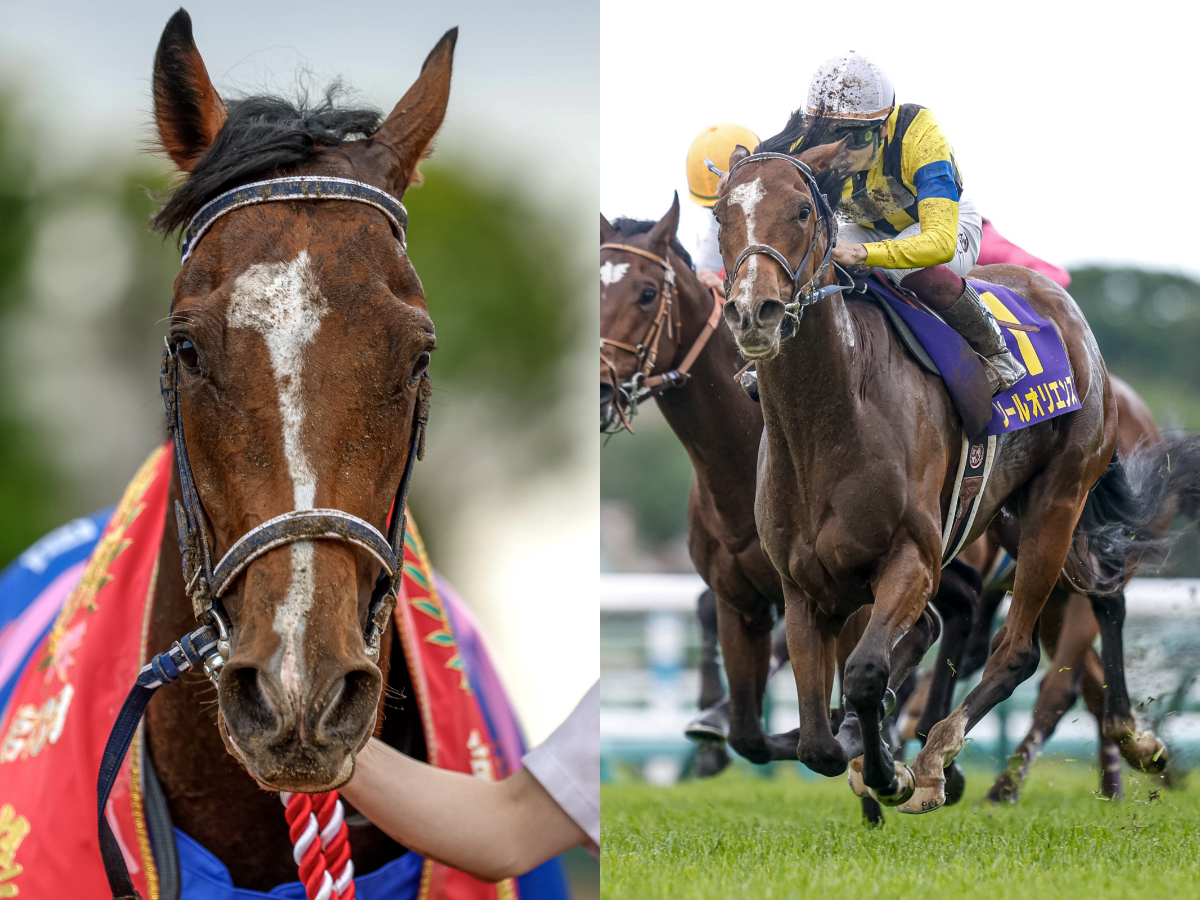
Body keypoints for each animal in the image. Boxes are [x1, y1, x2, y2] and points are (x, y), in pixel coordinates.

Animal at [715, 126, 1177, 813]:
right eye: (722, 215)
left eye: (801, 210)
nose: (754, 313)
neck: (830, 421)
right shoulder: (803, 587)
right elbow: (817, 741)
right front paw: (863, 753)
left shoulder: (914, 557)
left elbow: (866, 673)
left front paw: (894, 773)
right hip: (1009, 513)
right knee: (1103, 592)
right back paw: (1130, 735)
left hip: (1058, 500)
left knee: (1018, 651)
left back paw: (940, 761)